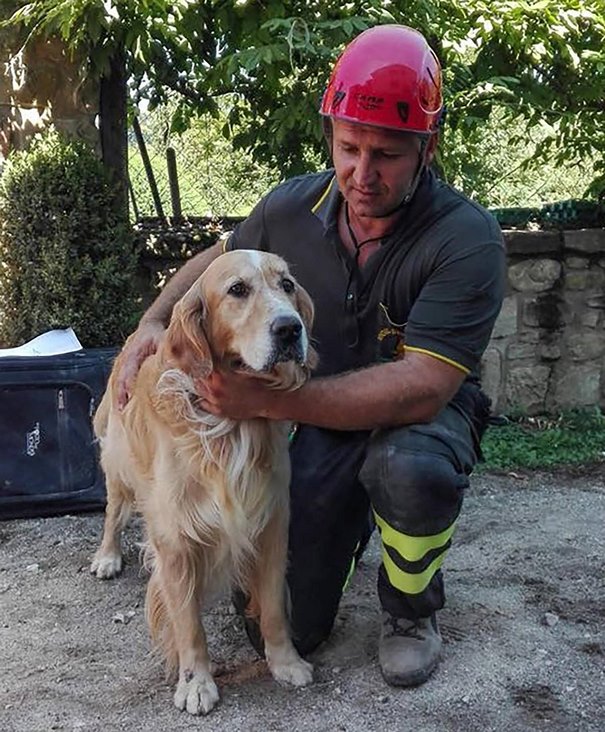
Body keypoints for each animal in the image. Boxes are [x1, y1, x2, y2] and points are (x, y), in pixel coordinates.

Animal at [91, 250, 316, 716]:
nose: (290, 328)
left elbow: (273, 606)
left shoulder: (271, 522)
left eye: (286, 285)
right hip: (119, 468)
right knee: (112, 513)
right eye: (237, 290)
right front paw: (195, 683)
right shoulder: (177, 539)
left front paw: (285, 661)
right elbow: (188, 624)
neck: (231, 427)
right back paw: (107, 556)